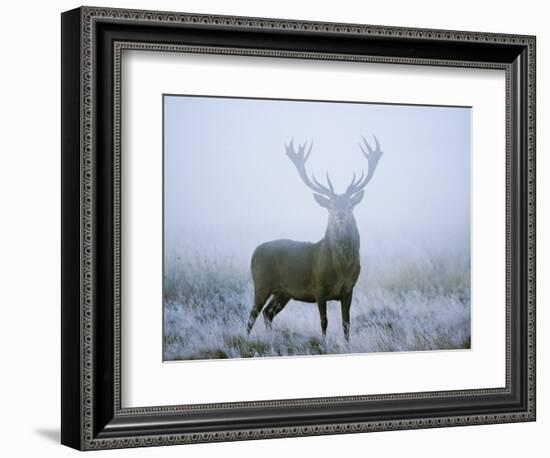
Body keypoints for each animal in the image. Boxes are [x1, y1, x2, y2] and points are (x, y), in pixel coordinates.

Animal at [249, 134, 384, 342]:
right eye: (330, 205)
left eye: (350, 204)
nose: (340, 214)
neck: (342, 269)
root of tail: (254, 252)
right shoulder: (318, 287)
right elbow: (324, 322)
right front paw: (325, 343)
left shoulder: (349, 289)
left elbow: (346, 324)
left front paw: (347, 344)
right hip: (261, 283)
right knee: (252, 314)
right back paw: (246, 338)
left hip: (283, 292)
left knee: (267, 313)